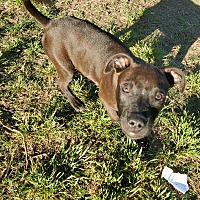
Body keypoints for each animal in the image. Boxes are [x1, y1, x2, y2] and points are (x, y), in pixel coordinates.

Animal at [21, 0, 186, 140]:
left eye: (159, 96)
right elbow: (116, 117)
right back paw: (75, 102)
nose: (137, 123)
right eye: (125, 88)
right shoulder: (106, 101)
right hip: (66, 68)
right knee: (62, 84)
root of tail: (51, 23)